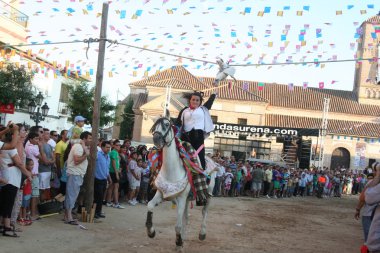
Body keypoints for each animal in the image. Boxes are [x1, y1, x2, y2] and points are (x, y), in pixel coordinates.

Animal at [145, 115, 217, 249]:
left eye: (167, 124)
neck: (171, 170)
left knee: (204, 211)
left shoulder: (181, 199)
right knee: (186, 218)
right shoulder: (161, 193)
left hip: (208, 194)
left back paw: (202, 233)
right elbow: (150, 205)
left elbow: (177, 225)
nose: (156, 139)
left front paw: (178, 242)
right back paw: (184, 237)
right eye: (154, 125)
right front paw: (151, 231)